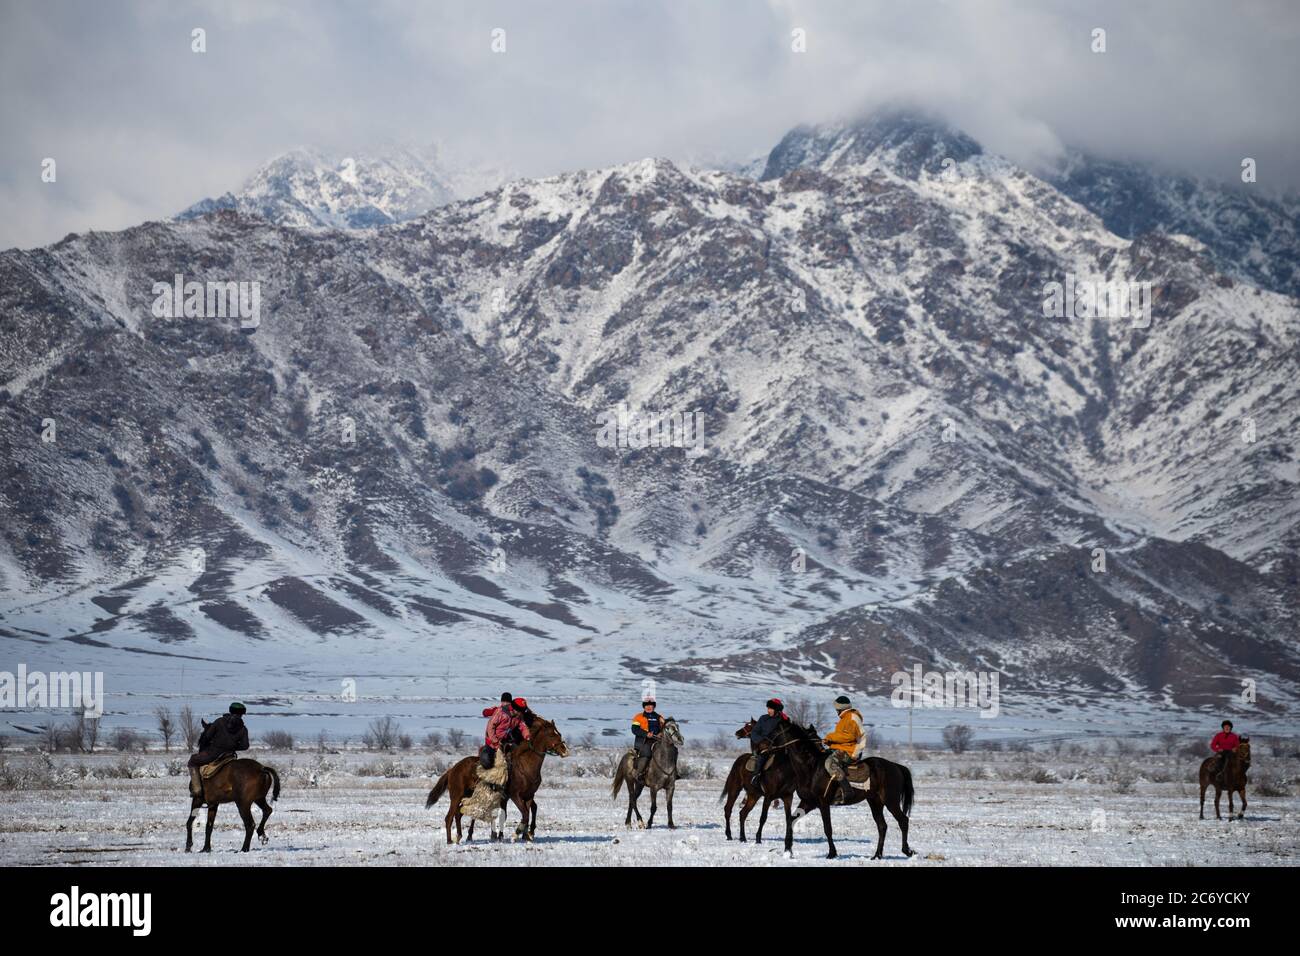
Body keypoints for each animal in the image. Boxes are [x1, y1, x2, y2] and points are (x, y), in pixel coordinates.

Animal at [426, 717, 569, 842]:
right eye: (552, 735)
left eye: (559, 733)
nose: (565, 750)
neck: (524, 766)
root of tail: (453, 769)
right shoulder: (514, 795)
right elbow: (524, 814)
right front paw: (515, 834)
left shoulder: (528, 796)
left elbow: (528, 814)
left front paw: (526, 835)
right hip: (456, 796)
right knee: (449, 817)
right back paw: (450, 840)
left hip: (468, 796)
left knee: (458, 814)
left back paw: (459, 837)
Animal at [769, 723, 915, 863]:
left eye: (775, 731)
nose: (765, 746)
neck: (811, 767)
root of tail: (896, 766)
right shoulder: (808, 802)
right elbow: (791, 820)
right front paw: (788, 850)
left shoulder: (823, 803)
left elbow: (827, 828)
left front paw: (831, 854)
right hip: (875, 802)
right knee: (882, 826)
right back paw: (877, 855)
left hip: (890, 801)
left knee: (903, 821)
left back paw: (907, 851)